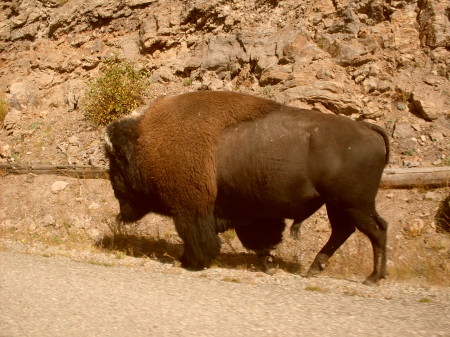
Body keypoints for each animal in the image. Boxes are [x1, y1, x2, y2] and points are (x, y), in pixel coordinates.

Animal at [103, 91, 388, 284]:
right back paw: (317, 270)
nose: (116, 195)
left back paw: (372, 278)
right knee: (350, 230)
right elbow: (258, 241)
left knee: (374, 231)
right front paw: (269, 265)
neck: (146, 144)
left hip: (352, 204)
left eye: (115, 165)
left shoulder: (191, 210)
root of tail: (368, 128)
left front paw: (191, 262)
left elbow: (198, 237)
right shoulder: (249, 213)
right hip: (339, 205)